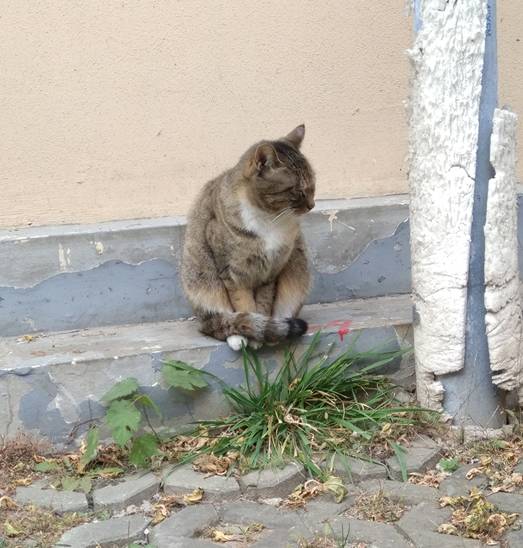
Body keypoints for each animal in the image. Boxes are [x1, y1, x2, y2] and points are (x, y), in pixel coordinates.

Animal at [182, 125, 318, 352]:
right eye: (297, 190)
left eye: (313, 186)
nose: (312, 205)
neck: (269, 219)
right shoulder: (232, 273)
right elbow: (244, 304)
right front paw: (252, 334)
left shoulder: (271, 272)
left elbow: (263, 304)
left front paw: (262, 332)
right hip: (202, 281)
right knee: (216, 323)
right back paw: (237, 336)